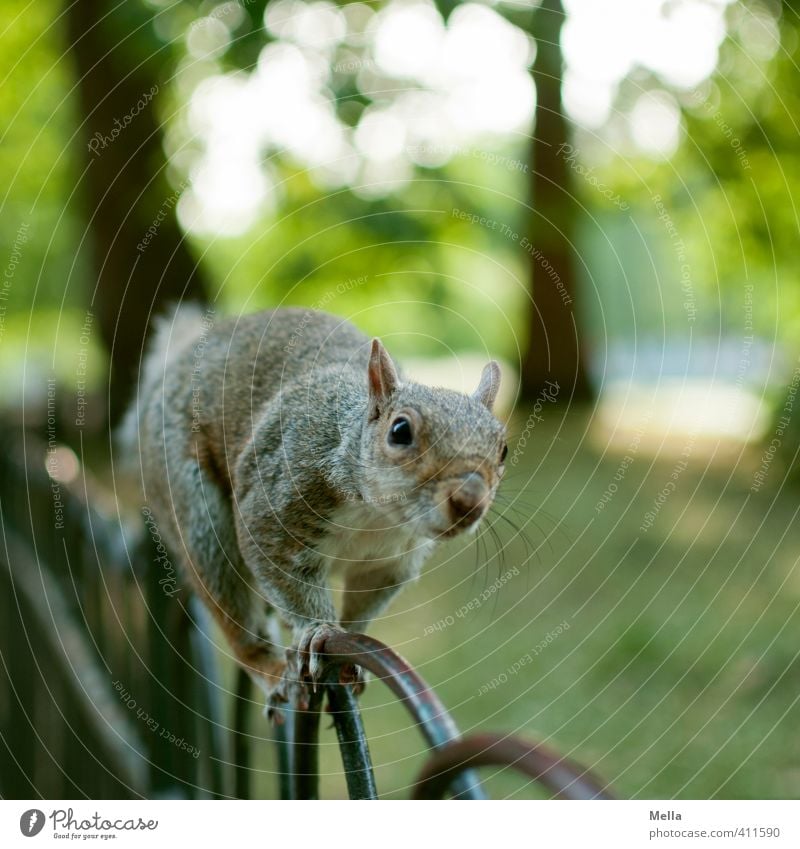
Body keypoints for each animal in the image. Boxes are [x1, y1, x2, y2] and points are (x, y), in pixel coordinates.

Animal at [120, 304, 506, 716]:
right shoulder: (278, 504)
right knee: (233, 613)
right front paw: (318, 630)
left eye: (503, 449)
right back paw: (272, 671)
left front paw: (349, 646)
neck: (376, 516)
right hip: (193, 506)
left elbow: (365, 601)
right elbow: (280, 566)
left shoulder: (389, 562)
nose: (469, 501)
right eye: (400, 431)